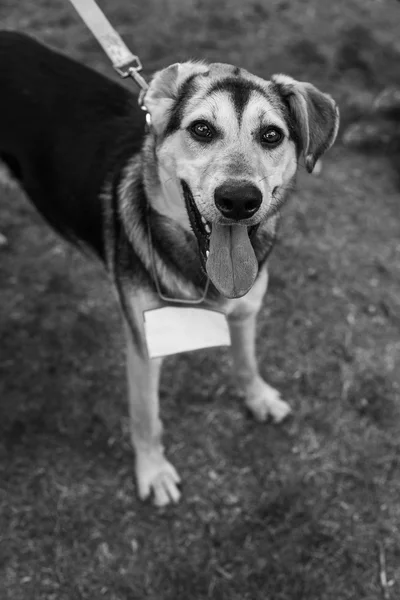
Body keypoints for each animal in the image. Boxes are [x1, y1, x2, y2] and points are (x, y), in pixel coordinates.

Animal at [0, 30, 340, 504]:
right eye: (202, 129)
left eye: (271, 135)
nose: (239, 200)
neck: (199, 266)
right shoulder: (146, 343)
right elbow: (147, 416)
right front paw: (154, 471)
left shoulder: (246, 311)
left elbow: (246, 360)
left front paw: (258, 397)